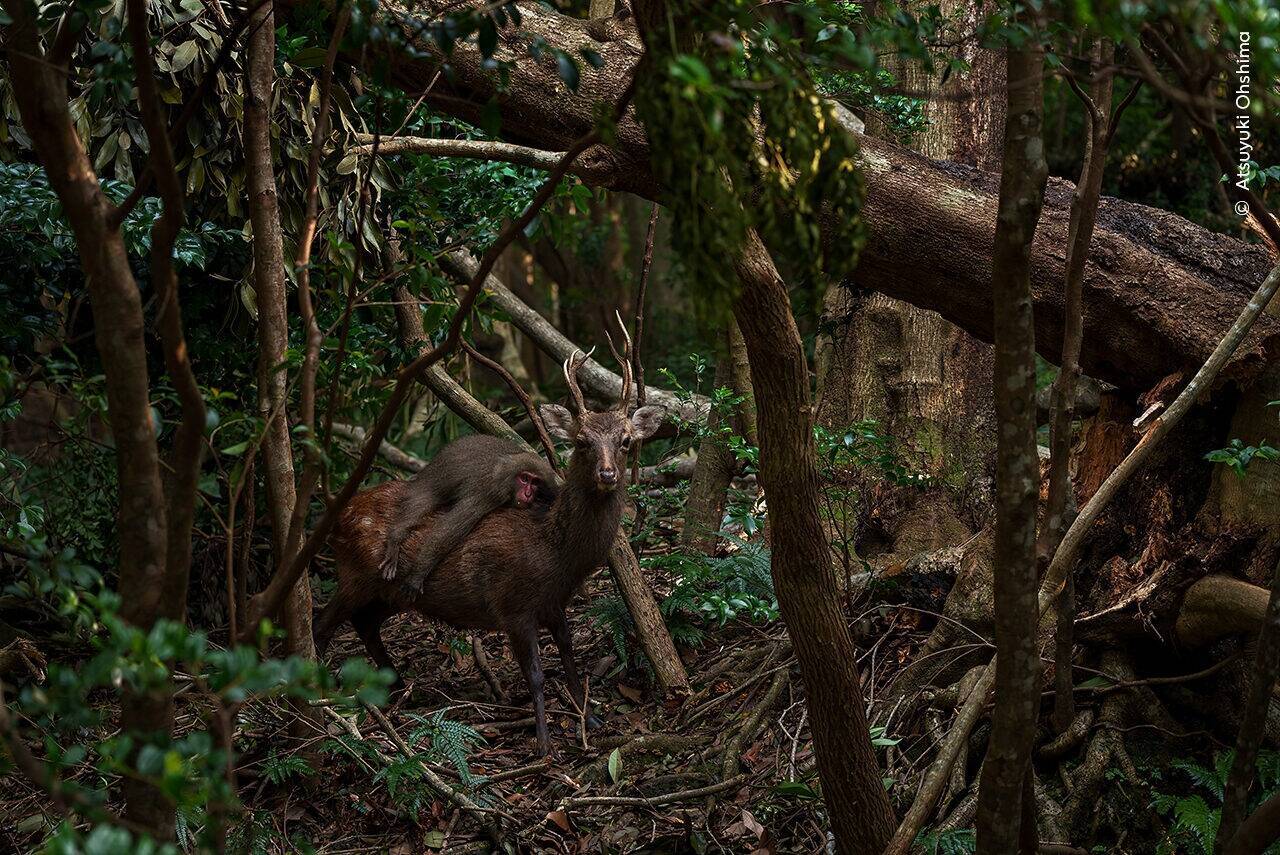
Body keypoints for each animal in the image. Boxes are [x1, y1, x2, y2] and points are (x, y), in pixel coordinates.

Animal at [378, 437, 560, 591]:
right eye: (524, 478)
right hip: (436, 475)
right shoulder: (489, 491)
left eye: (535, 482)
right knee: (423, 498)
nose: (528, 494)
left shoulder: (552, 489)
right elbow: (447, 532)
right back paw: (396, 535)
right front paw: (417, 575)